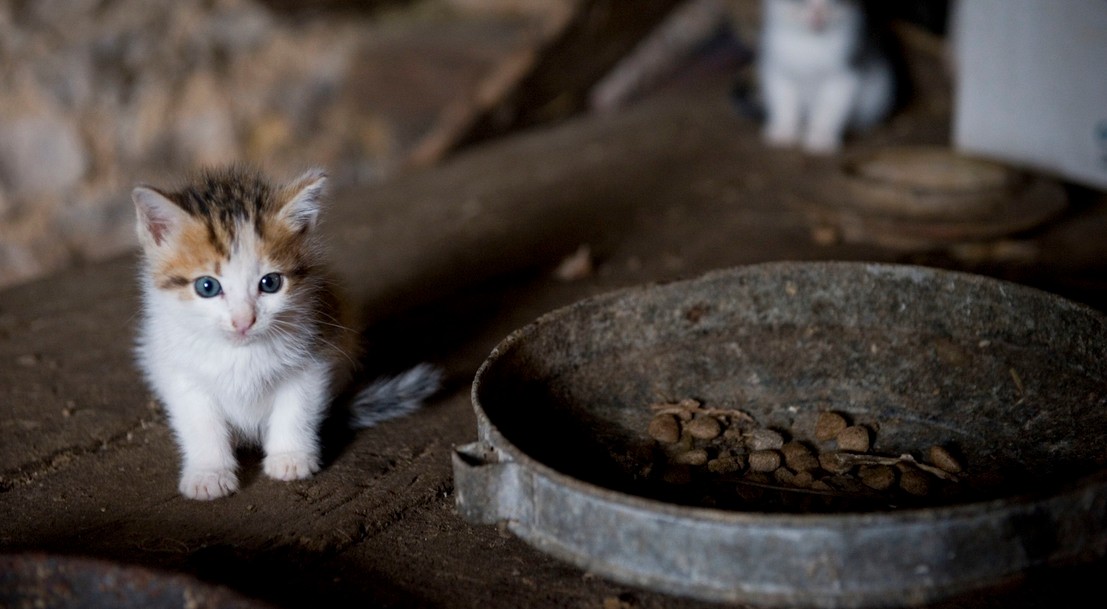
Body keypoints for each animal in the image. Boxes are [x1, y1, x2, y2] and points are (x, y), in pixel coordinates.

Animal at [131, 166, 438, 500]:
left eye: (270, 283)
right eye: (207, 286)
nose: (244, 321)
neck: (241, 352)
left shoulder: (315, 353)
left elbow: (297, 408)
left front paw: (290, 457)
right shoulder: (176, 367)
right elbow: (200, 422)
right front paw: (208, 473)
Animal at [757, 0, 894, 155]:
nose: (818, 12)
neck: (810, 44)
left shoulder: (843, 75)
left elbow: (830, 106)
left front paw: (820, 137)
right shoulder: (778, 68)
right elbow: (783, 100)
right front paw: (783, 130)